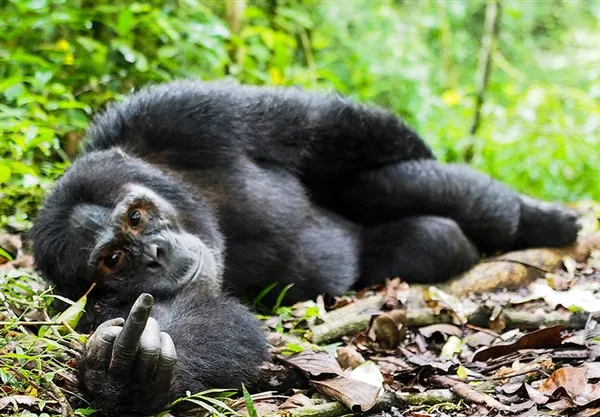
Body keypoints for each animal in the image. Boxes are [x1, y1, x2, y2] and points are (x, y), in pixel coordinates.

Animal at [29, 80, 580, 412]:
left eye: (137, 217)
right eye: (114, 260)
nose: (154, 254)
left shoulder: (180, 115)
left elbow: (321, 125)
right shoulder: (92, 307)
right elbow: (209, 320)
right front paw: (129, 373)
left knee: (387, 182)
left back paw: (538, 222)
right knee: (433, 238)